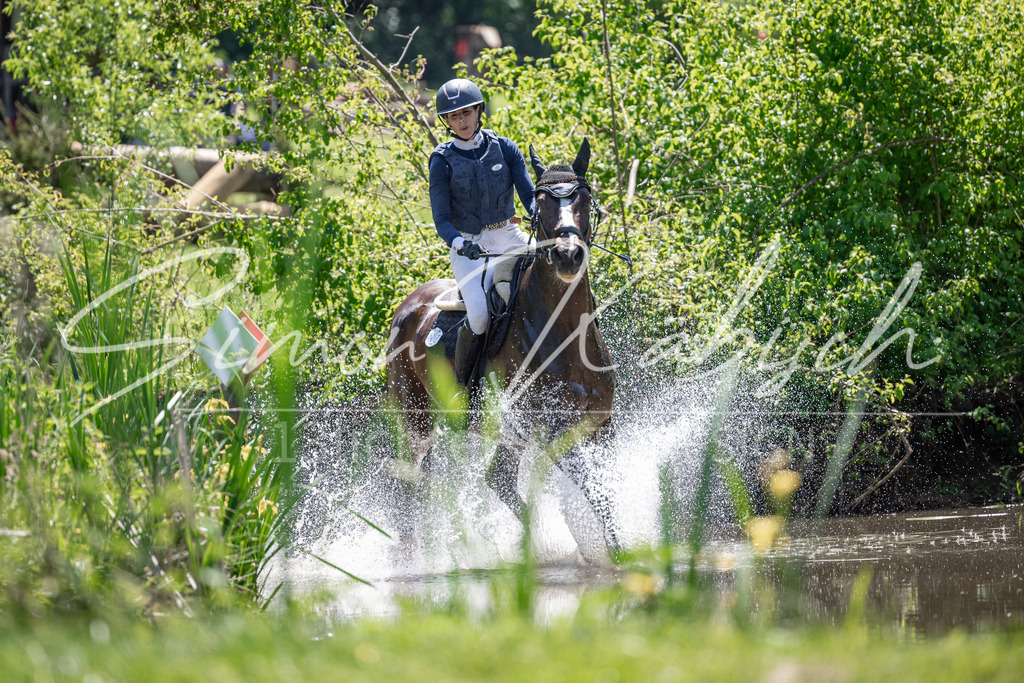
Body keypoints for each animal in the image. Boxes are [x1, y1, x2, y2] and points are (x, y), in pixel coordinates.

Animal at [384, 137, 620, 553]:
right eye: (540, 203)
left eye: (584, 197)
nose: (568, 255)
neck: (563, 332)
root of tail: (407, 306)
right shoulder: (553, 430)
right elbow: (595, 493)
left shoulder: (598, 425)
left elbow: (602, 492)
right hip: (417, 424)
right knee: (407, 490)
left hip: (506, 436)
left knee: (498, 481)